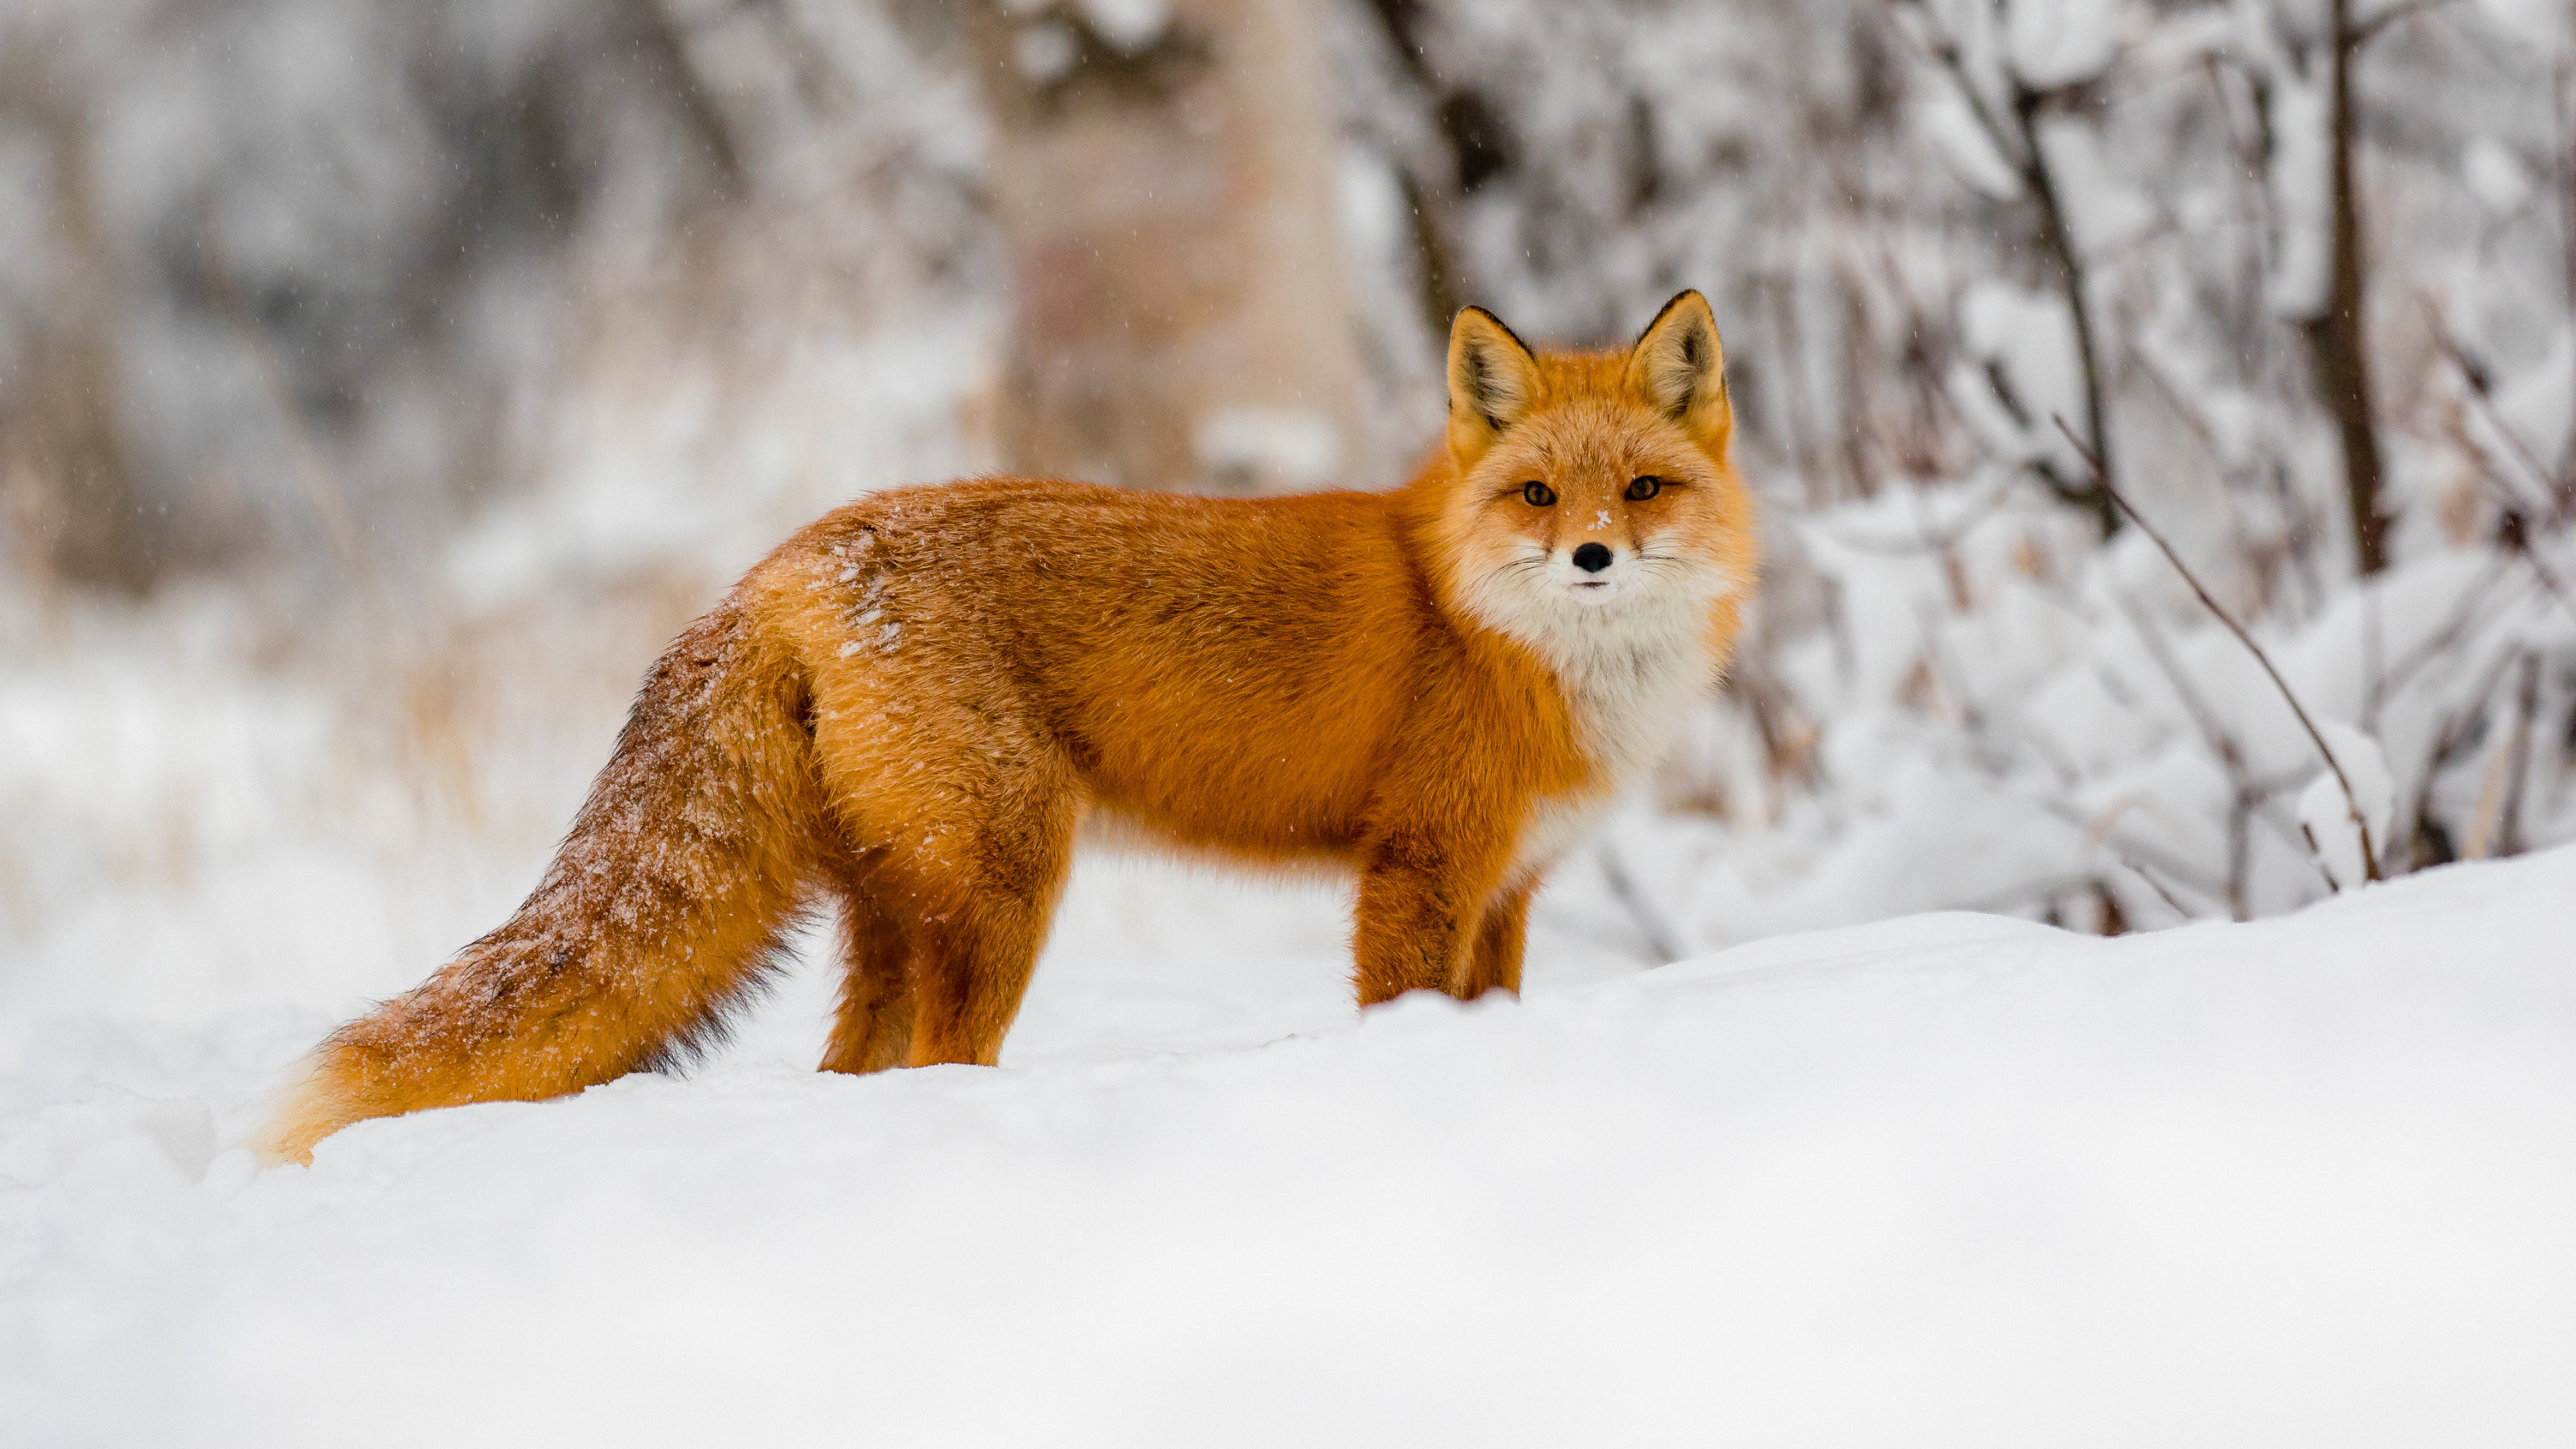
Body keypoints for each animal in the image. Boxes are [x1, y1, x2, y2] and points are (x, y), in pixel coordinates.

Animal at [250, 290, 1758, 1165]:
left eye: (1640, 489)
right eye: (1536, 497)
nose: (1593, 560)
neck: (1513, 647)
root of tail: (781, 564)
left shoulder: (1508, 887)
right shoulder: (1421, 871)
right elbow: (1403, 1011)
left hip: (894, 908)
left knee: (856, 1072)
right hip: (1007, 881)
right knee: (937, 1064)